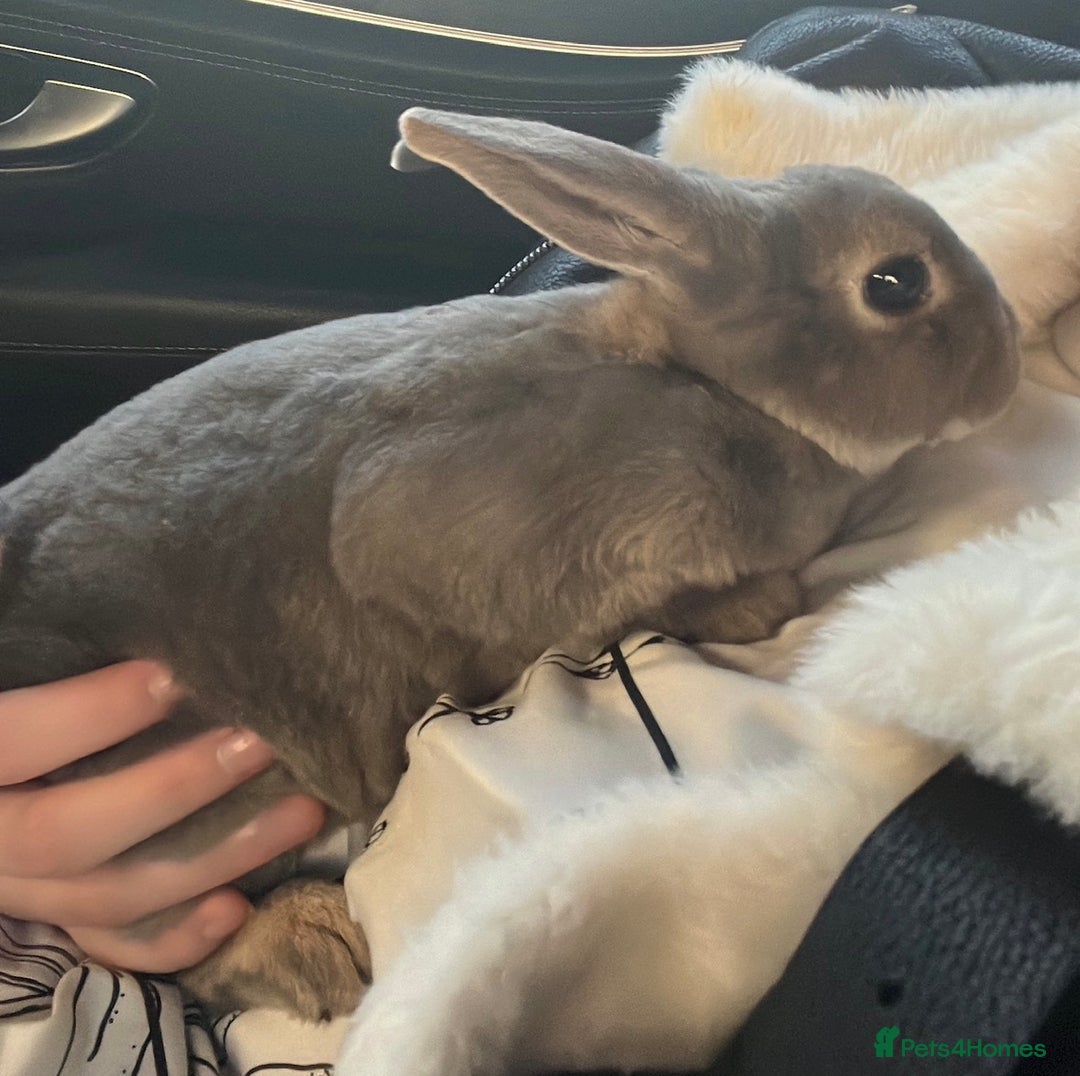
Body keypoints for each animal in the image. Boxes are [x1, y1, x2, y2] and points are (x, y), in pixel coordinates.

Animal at [0, 107, 1020, 1021]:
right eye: (895, 282)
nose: (1009, 369)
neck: (717, 386)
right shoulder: (452, 534)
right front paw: (754, 605)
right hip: (199, 816)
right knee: (179, 945)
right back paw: (313, 946)